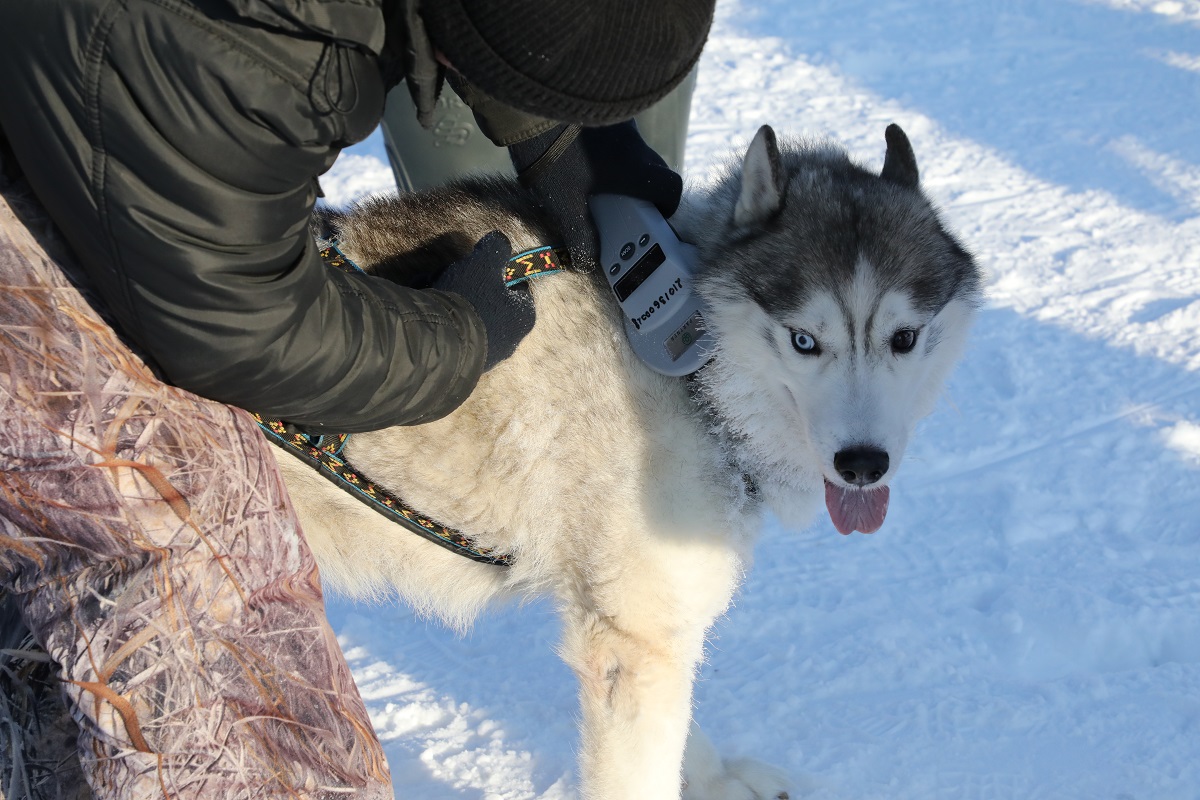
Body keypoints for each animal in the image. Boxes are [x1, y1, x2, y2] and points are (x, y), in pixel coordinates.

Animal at [276, 126, 979, 800]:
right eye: (804, 340)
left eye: (904, 338)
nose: (862, 464)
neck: (700, 386)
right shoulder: (632, 639)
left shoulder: (658, 628)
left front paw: (716, 783)